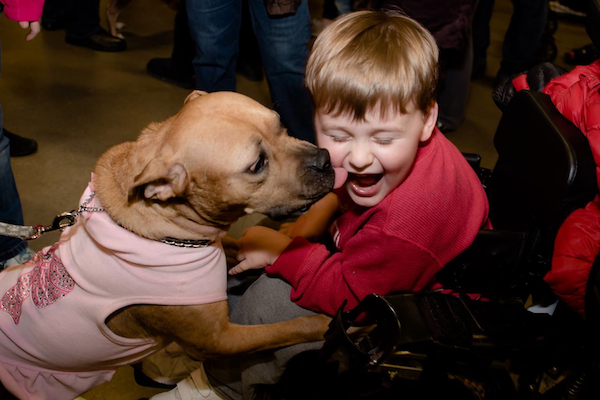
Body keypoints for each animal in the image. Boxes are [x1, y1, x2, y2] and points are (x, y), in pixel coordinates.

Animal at [0, 91, 336, 400]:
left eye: (282, 125)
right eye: (257, 165)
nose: (325, 160)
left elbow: (238, 244)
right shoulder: (218, 340)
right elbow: (282, 330)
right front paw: (323, 325)